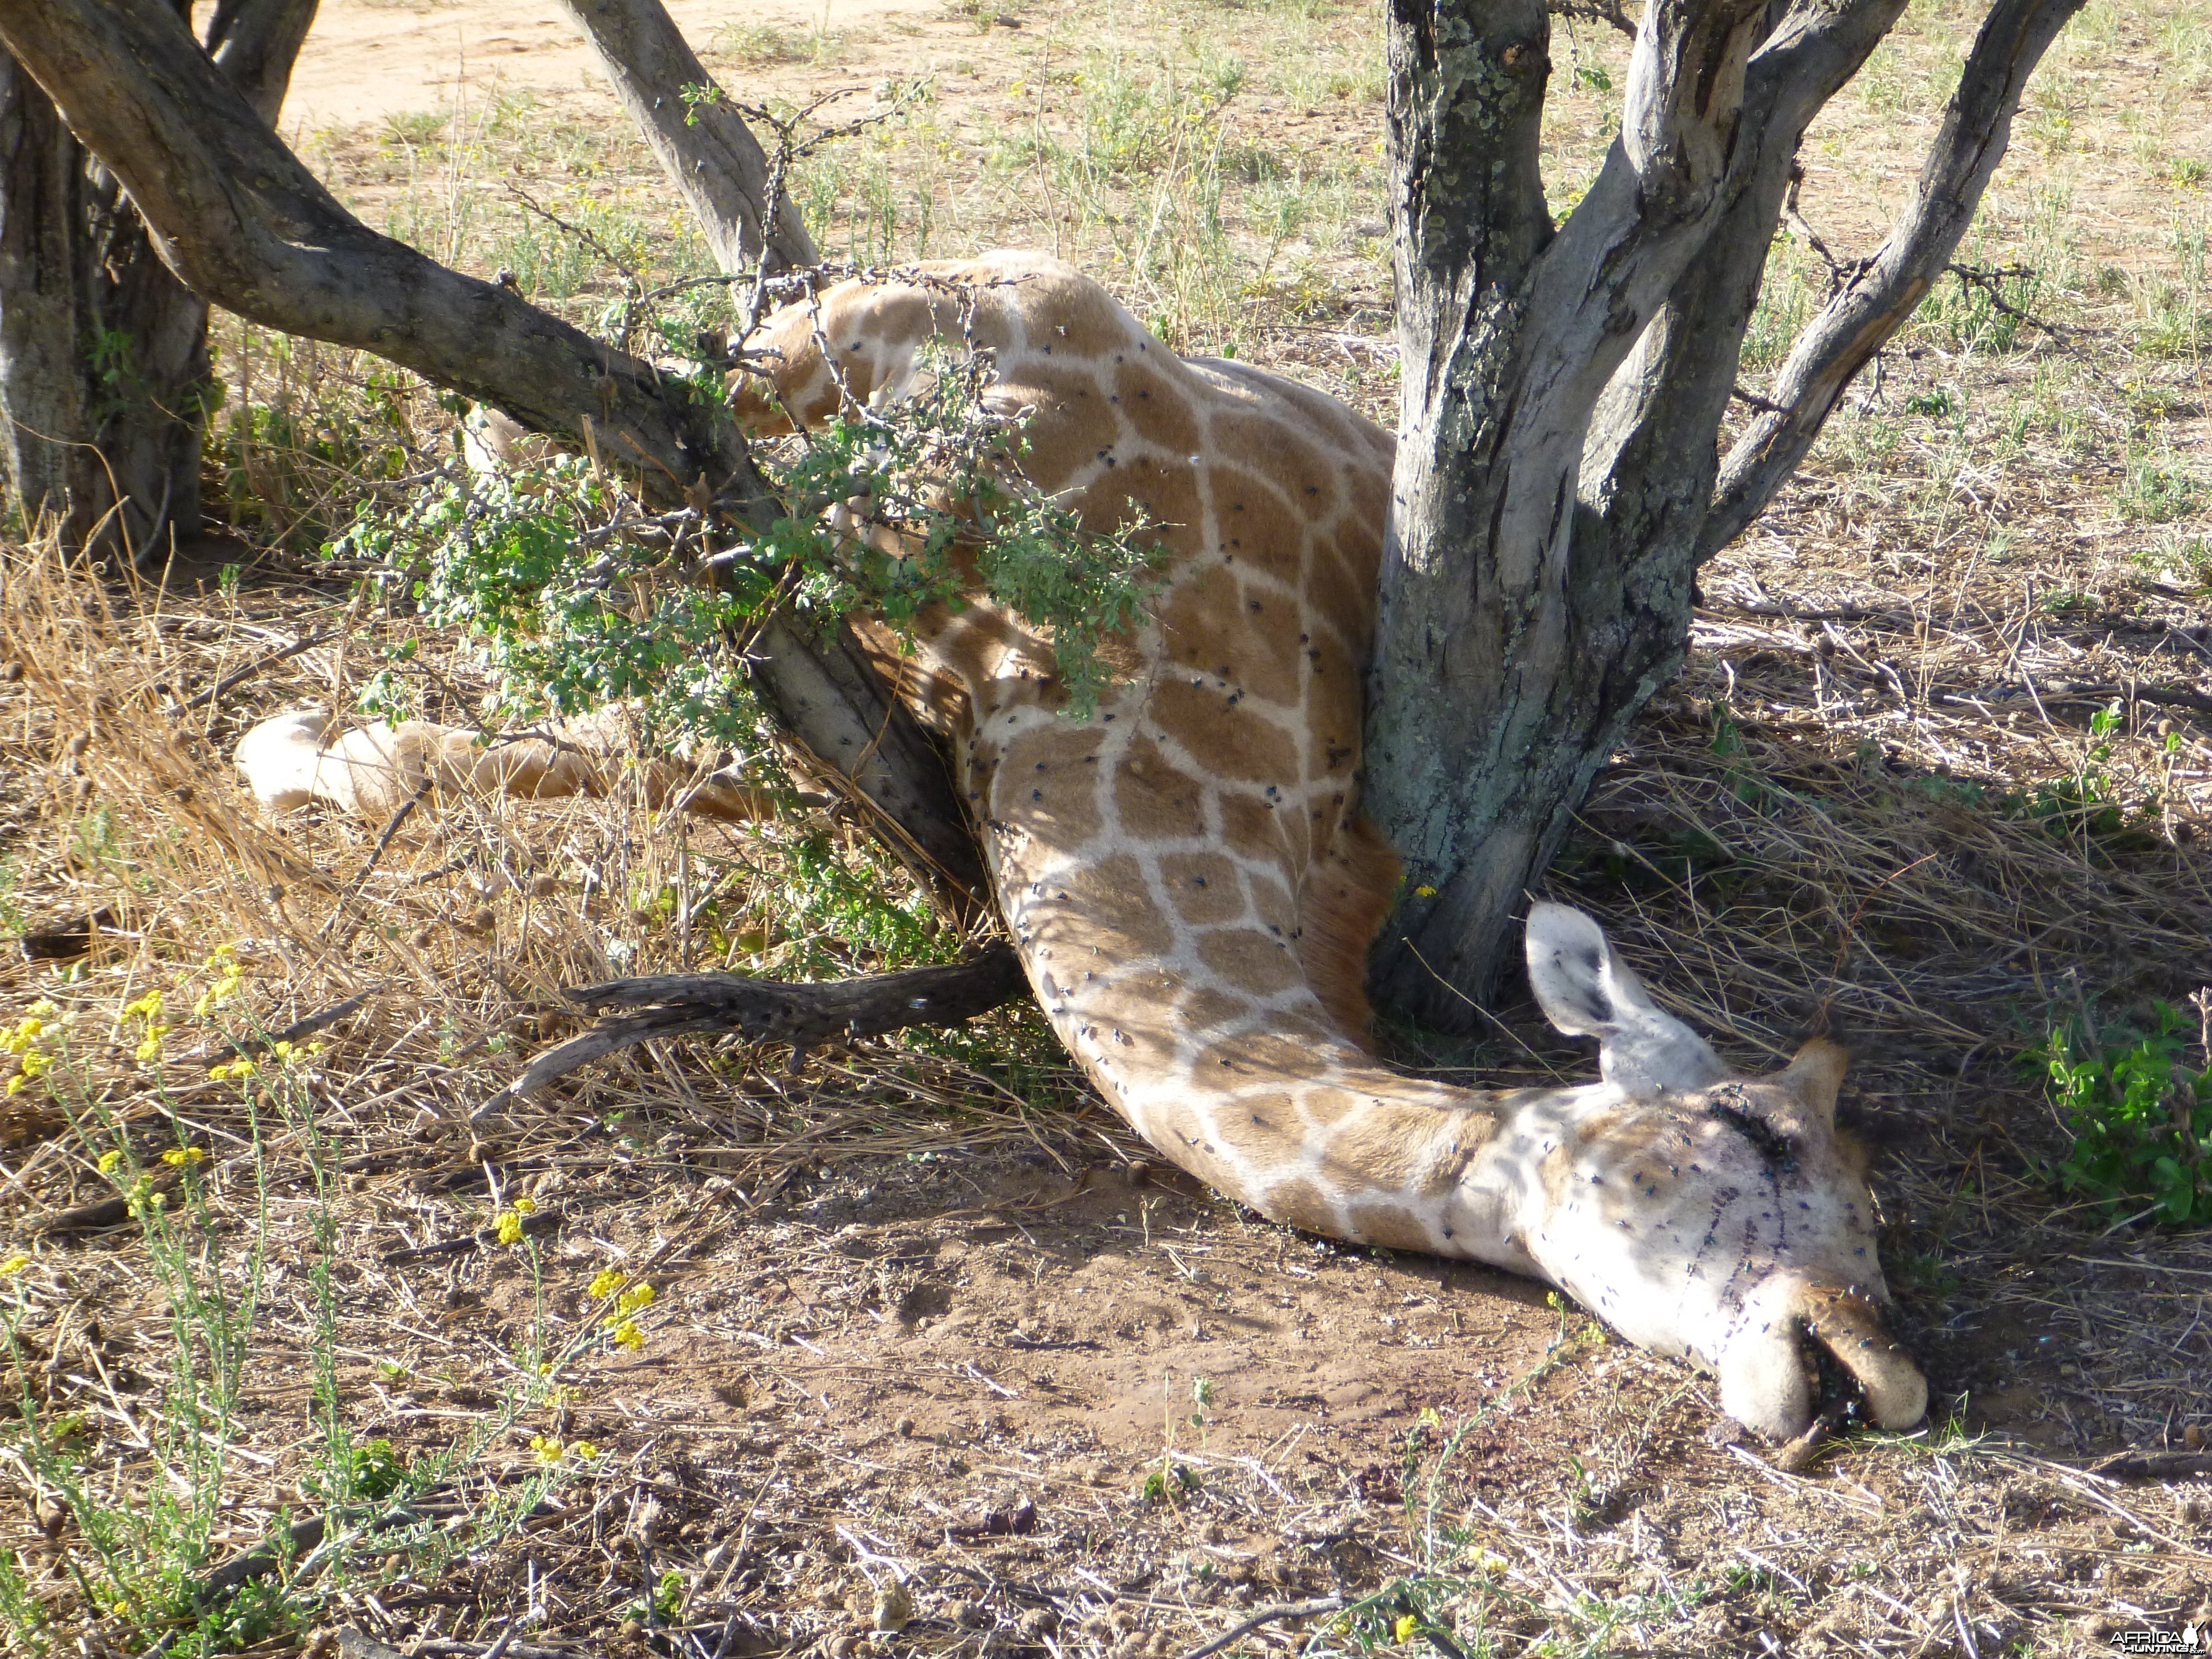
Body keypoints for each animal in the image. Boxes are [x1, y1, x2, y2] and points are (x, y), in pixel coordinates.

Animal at [251, 253, 1929, 1433]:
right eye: (1755, 1133)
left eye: (1878, 1212)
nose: (1870, 1374)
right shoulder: (957, 357)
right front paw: (295, 738)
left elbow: (604, 744)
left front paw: (302, 745)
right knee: (579, 406)